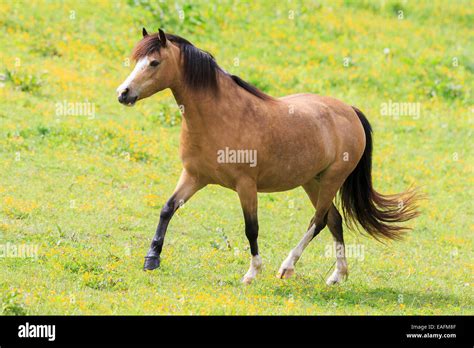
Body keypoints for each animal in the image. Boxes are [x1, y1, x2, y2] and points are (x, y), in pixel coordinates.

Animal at [116, 29, 420, 286]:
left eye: (154, 62)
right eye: (137, 60)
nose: (123, 93)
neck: (220, 116)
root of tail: (350, 111)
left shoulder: (246, 185)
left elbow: (251, 228)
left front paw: (252, 273)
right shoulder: (194, 176)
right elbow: (167, 209)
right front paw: (151, 259)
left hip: (332, 179)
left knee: (319, 221)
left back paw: (287, 267)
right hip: (312, 181)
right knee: (334, 220)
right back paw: (337, 276)